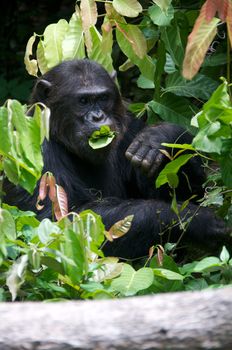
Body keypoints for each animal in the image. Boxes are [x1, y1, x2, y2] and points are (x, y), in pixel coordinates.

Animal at [4, 58, 230, 258]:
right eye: (83, 101)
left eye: (103, 98)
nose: (98, 117)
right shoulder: (32, 145)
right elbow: (58, 222)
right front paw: (195, 219)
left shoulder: (129, 123)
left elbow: (195, 193)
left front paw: (160, 136)